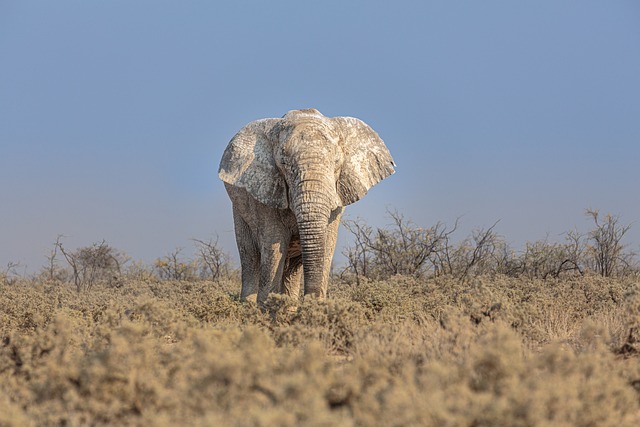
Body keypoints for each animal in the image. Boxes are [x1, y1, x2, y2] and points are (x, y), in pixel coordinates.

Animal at [218, 108, 392, 306]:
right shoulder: (265, 192)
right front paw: (266, 308)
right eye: (283, 163)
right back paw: (248, 305)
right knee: (251, 257)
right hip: (239, 212)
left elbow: (327, 244)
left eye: (336, 162)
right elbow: (273, 246)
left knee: (292, 268)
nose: (310, 300)